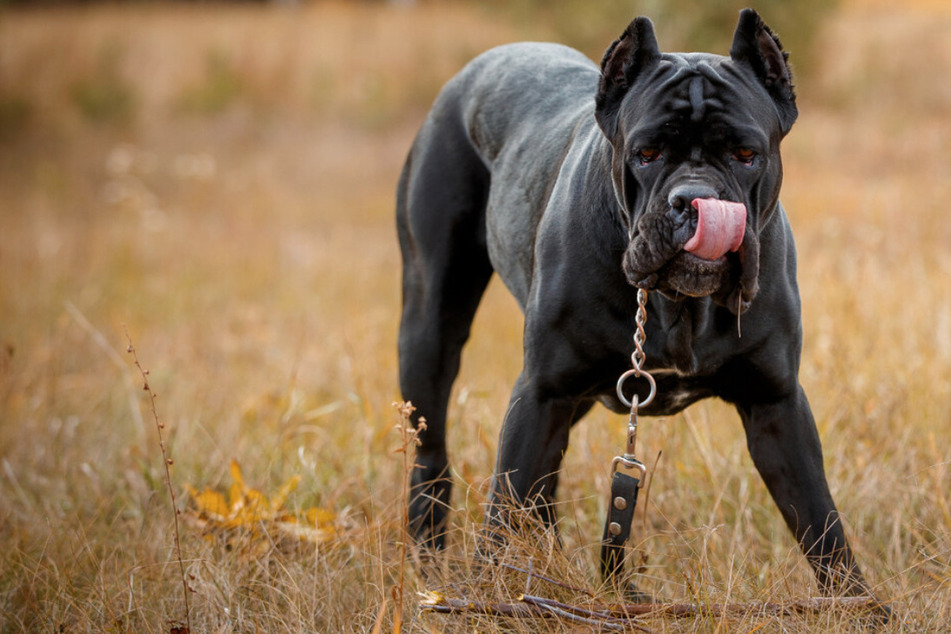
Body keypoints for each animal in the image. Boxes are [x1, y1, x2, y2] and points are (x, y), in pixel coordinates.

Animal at [396, 11, 876, 596]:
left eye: (746, 155)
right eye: (646, 154)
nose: (695, 199)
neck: (679, 308)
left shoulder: (777, 403)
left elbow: (821, 522)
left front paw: (860, 605)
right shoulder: (541, 391)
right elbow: (503, 506)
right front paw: (489, 599)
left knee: (542, 486)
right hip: (430, 329)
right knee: (433, 459)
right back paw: (432, 562)